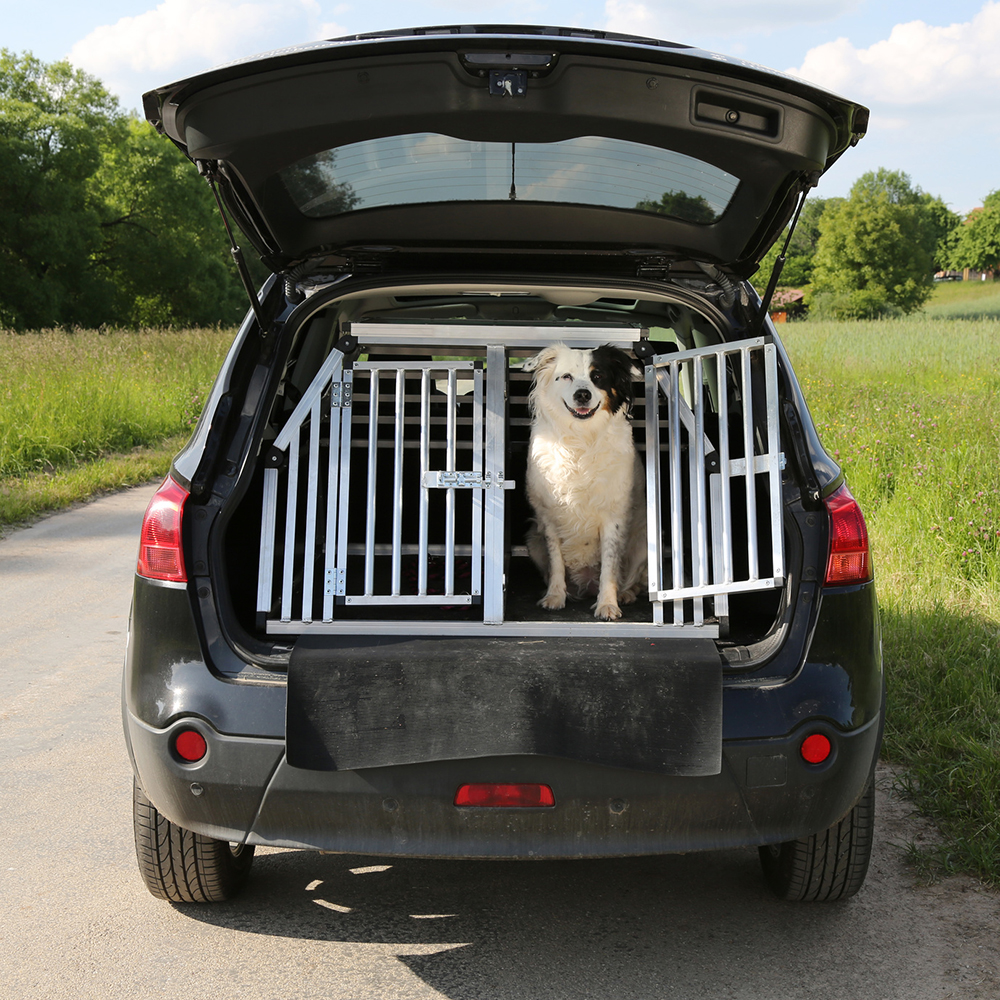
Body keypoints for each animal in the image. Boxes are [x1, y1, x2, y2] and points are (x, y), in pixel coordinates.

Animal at [524, 348, 648, 620]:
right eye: (566, 376)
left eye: (598, 376)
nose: (583, 394)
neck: (580, 438)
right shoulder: (549, 518)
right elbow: (556, 562)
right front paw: (555, 596)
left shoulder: (614, 516)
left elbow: (610, 566)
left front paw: (607, 604)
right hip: (533, 540)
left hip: (643, 542)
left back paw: (625, 594)